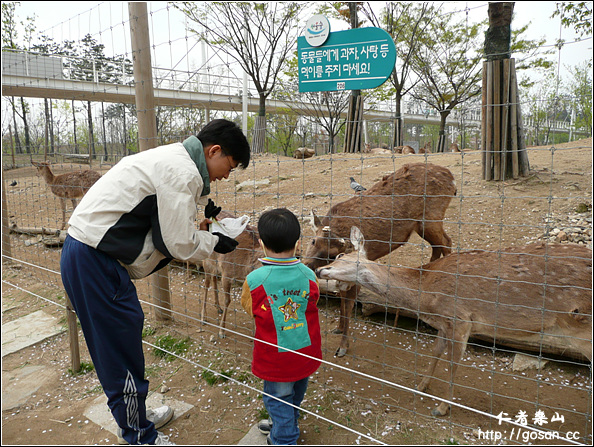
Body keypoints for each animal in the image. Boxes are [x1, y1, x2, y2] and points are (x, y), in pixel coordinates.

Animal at [302, 162, 456, 356]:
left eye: (331, 254)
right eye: (313, 240)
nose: (308, 266)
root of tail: (452, 179)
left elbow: (349, 302)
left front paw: (343, 346)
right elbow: (342, 298)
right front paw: (338, 327)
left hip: (432, 217)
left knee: (447, 242)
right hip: (422, 225)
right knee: (438, 246)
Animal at [320, 229, 592, 418]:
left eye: (341, 256)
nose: (323, 270)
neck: (427, 297)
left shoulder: (461, 319)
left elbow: (453, 364)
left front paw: (441, 408)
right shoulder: (444, 323)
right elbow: (436, 351)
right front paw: (421, 385)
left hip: (582, 329)